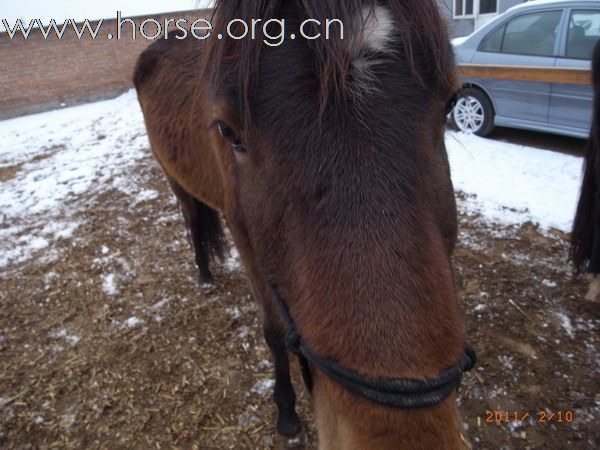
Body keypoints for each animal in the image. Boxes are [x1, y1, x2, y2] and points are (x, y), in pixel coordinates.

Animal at [135, 1, 474, 448]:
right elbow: (275, 332)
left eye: (451, 102)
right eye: (228, 129)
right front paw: (286, 410)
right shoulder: (248, 245)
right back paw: (204, 273)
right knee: (192, 219)